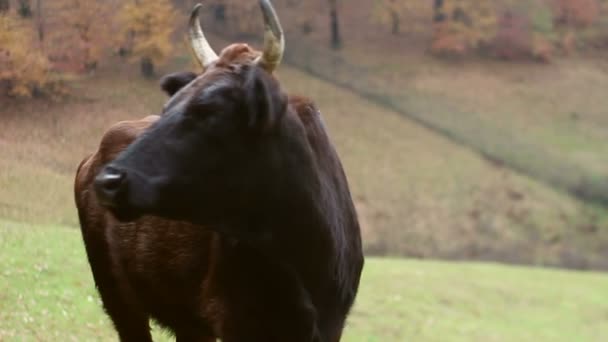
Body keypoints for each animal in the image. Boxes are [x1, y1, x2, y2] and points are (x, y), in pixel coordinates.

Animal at [73, 1, 364, 340]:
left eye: (211, 111)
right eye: (167, 107)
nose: (110, 180)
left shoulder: (330, 324)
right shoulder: (234, 319)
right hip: (118, 298)